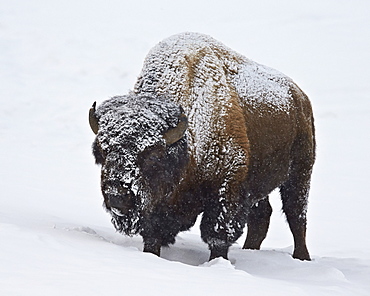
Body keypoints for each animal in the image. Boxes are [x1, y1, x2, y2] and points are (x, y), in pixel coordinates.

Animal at [89, 31, 316, 262]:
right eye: (102, 152)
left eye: (152, 155)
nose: (117, 195)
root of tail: (300, 97)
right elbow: (152, 235)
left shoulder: (226, 189)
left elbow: (217, 235)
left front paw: (218, 262)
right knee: (262, 216)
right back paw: (250, 250)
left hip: (300, 172)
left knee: (296, 215)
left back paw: (302, 257)